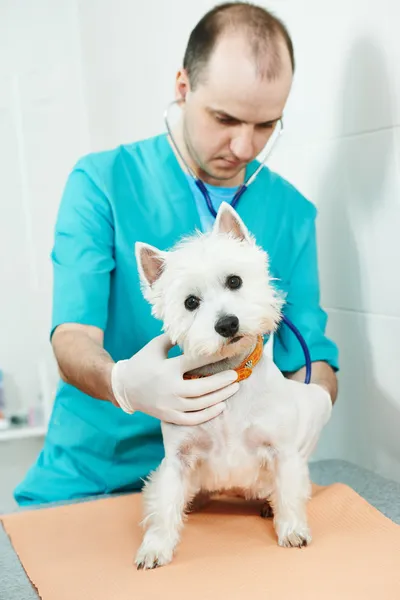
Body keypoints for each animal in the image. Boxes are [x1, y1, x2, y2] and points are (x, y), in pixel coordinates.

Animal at [133, 203, 330, 572]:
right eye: (190, 302)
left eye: (234, 281)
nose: (227, 324)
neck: (231, 373)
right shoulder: (178, 458)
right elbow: (164, 505)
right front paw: (155, 547)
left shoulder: (282, 451)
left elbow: (288, 491)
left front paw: (292, 529)